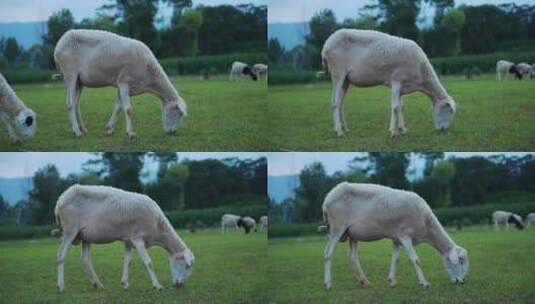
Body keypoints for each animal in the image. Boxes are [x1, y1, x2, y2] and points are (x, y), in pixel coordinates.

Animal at [52, 184, 194, 294]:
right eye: (187, 266)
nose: (180, 286)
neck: (158, 228)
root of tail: (60, 200)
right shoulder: (137, 238)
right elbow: (148, 262)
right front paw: (157, 286)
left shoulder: (128, 240)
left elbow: (128, 261)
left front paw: (125, 283)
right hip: (70, 230)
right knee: (60, 256)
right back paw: (61, 287)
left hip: (85, 236)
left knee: (85, 259)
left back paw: (97, 284)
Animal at [54, 29, 187, 139]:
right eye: (178, 113)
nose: (173, 132)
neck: (149, 76)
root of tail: (60, 43)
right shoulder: (124, 82)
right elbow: (128, 109)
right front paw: (130, 134)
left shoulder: (124, 86)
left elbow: (117, 107)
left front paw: (109, 128)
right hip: (70, 73)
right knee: (70, 103)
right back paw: (77, 132)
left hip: (79, 81)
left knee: (76, 104)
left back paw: (83, 129)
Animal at [320, 29, 458, 137]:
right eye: (449, 111)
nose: (443, 130)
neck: (421, 75)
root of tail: (326, 44)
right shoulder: (396, 80)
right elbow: (395, 106)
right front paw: (394, 132)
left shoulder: (402, 86)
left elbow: (401, 107)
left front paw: (401, 129)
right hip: (338, 72)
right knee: (335, 103)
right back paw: (339, 132)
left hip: (346, 80)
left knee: (340, 103)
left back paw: (345, 128)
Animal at [322, 183, 468, 290]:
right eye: (461, 260)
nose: (463, 281)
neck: (427, 226)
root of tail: (327, 198)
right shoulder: (405, 236)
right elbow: (415, 260)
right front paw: (424, 283)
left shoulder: (396, 238)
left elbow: (395, 259)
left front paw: (392, 281)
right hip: (337, 227)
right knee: (328, 254)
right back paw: (328, 284)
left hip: (352, 234)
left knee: (352, 257)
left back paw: (365, 281)